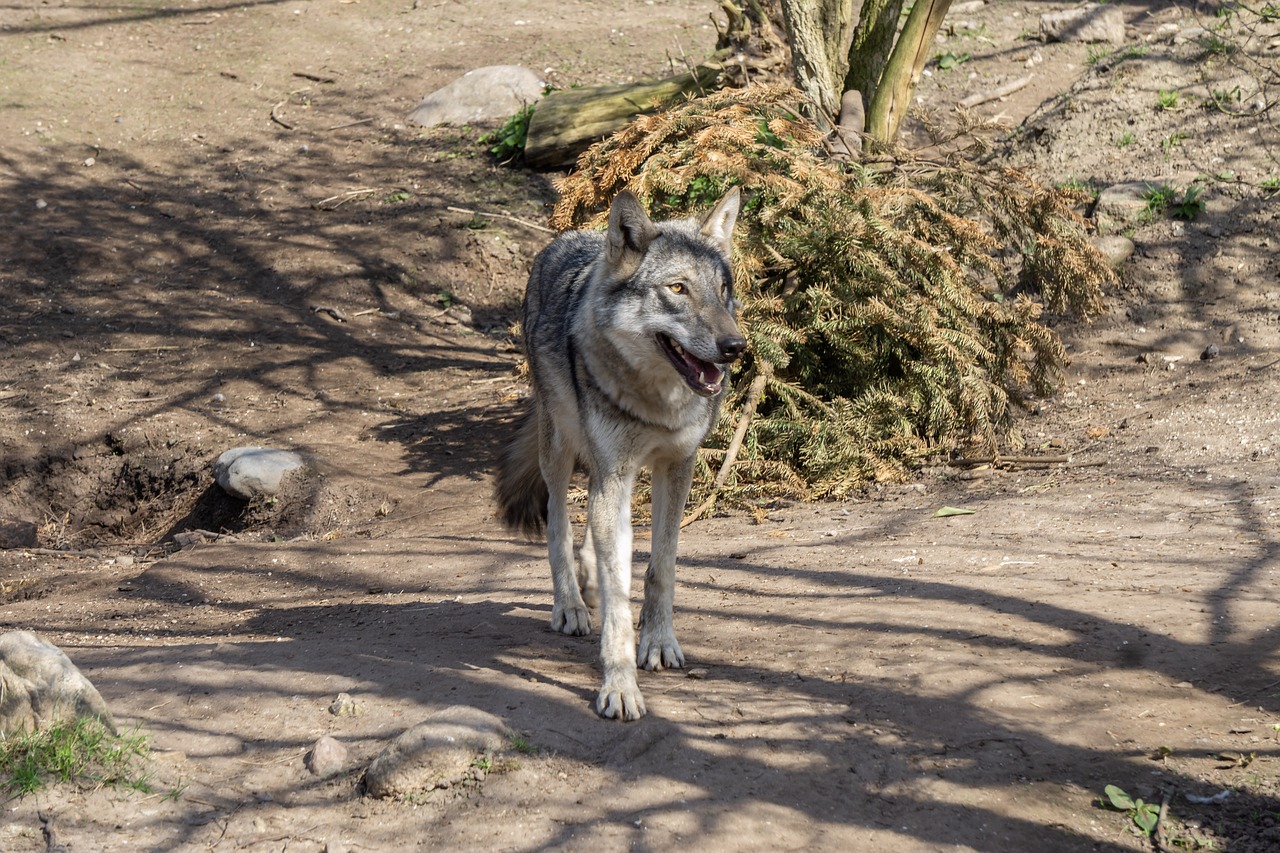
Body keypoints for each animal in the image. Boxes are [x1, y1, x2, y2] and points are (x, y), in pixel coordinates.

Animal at [494, 188, 747, 717]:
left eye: (722, 289)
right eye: (678, 289)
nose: (736, 346)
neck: (657, 405)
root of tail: (568, 236)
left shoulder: (676, 467)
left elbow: (660, 568)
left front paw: (658, 642)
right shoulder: (616, 473)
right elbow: (617, 600)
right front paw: (620, 686)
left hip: (601, 469)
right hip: (559, 449)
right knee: (559, 525)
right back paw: (570, 604)